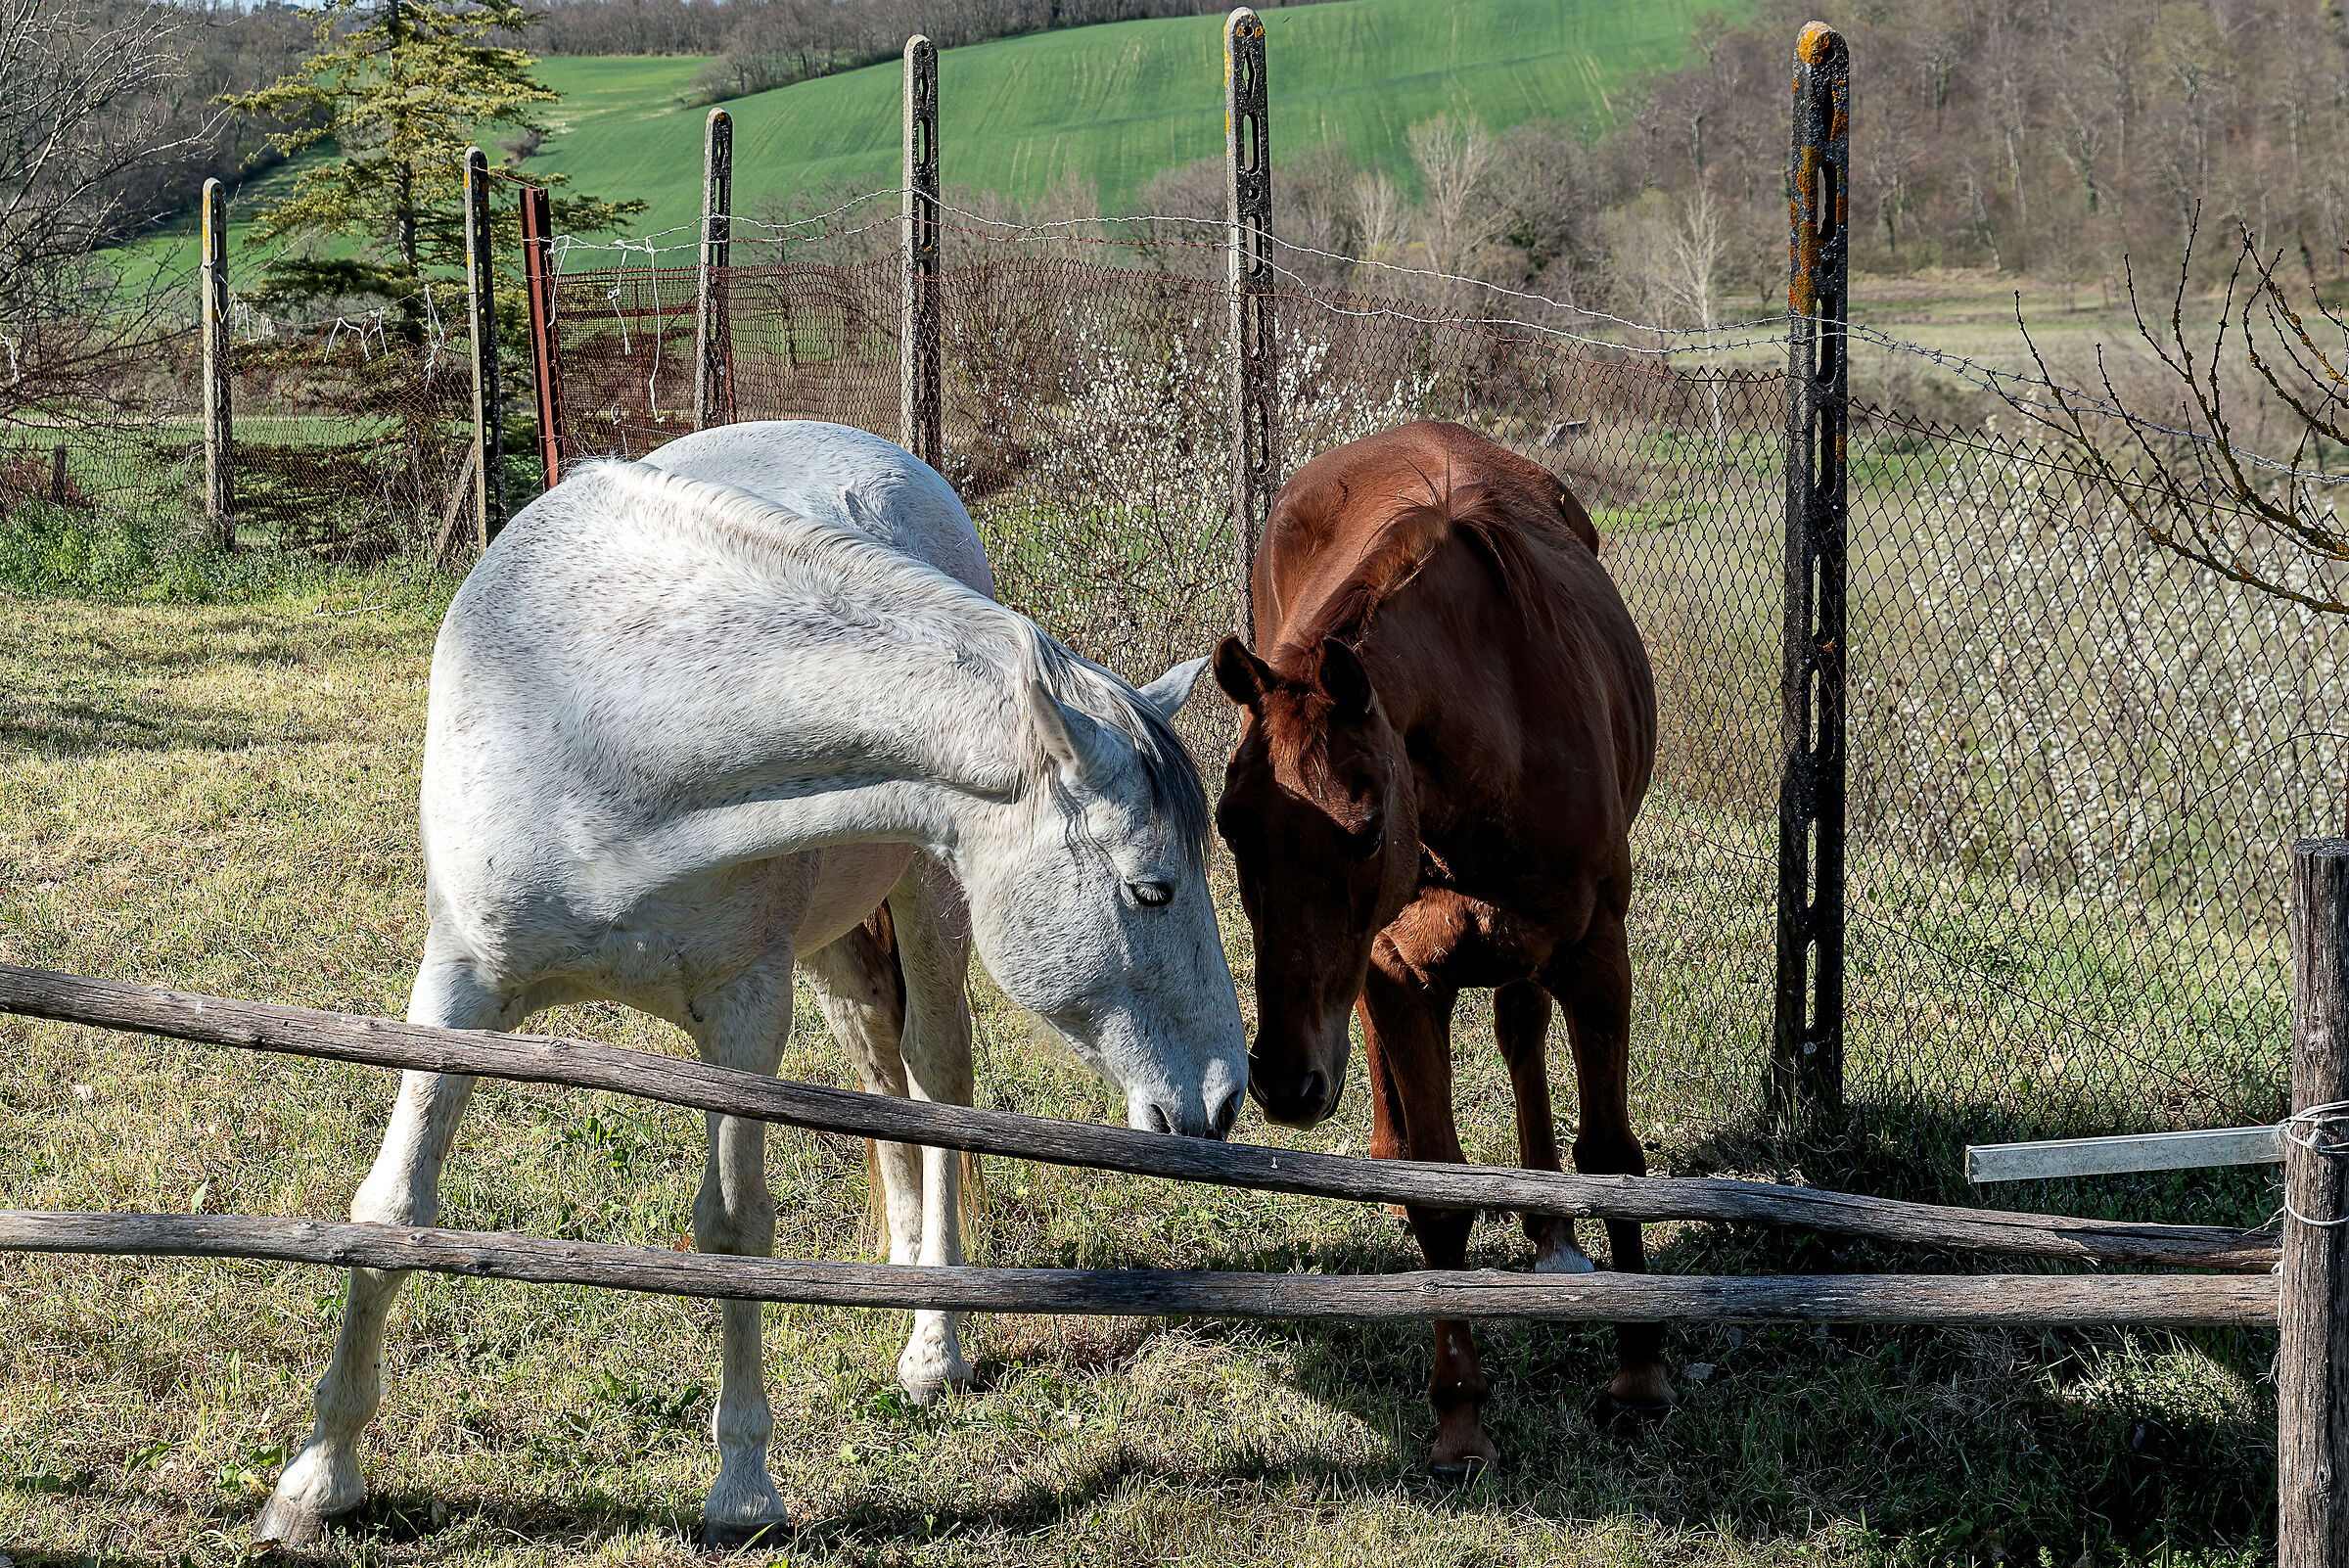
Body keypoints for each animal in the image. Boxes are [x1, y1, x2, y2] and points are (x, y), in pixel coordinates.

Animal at [257, 421, 1248, 1548]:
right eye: (1151, 888)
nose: (1223, 1097)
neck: (609, 727)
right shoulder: (459, 988)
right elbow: (390, 1211)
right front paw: (317, 1477)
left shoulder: (741, 1017)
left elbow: (732, 1234)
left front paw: (741, 1492)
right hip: (838, 952)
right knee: (883, 1079)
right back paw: (903, 1265)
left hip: (922, 906)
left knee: (937, 1085)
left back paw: (933, 1341)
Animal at [1210, 419, 1664, 1475]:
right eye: (1228, 824)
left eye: (1367, 826)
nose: (1283, 1080)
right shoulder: (1396, 972)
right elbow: (1441, 1196)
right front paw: (1461, 1419)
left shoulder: (1596, 954)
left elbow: (1611, 1153)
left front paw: (1640, 1372)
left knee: (1519, 1029)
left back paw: (1550, 1231)